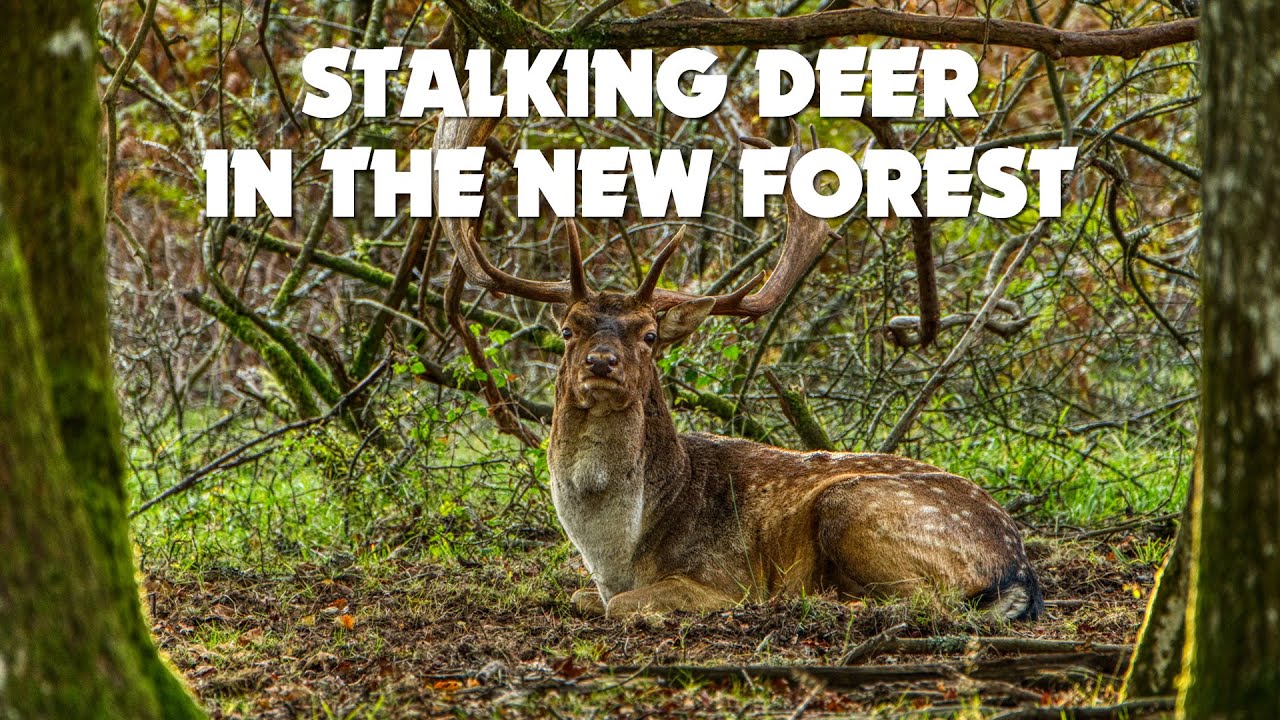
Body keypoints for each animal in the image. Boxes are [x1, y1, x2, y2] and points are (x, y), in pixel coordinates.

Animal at [433, 115, 1042, 621]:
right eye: (568, 329)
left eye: (649, 335)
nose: (602, 362)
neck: (617, 552)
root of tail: (1018, 568)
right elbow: (587, 598)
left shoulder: (720, 578)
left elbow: (622, 605)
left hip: (853, 506)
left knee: (923, 600)